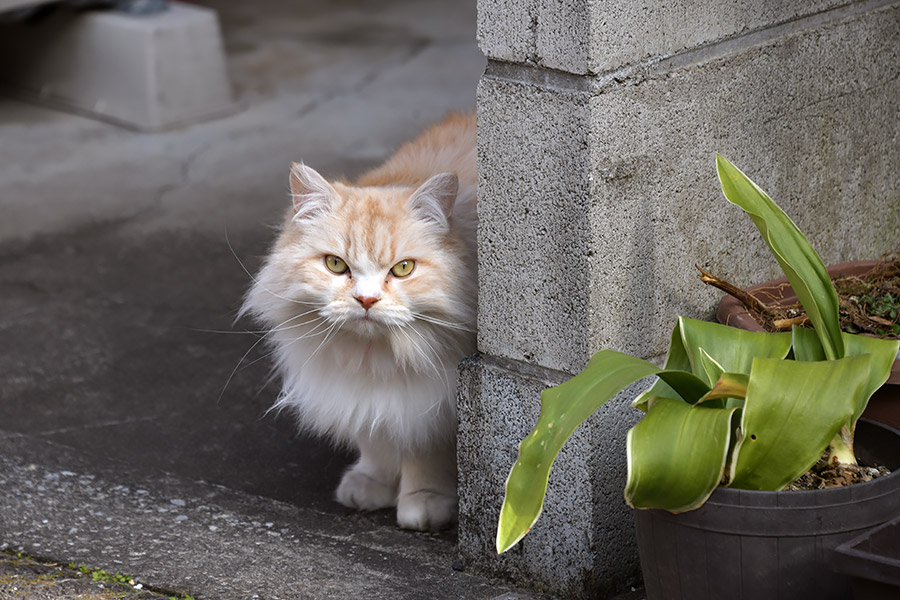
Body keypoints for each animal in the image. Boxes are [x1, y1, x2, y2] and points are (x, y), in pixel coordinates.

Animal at [239, 111, 478, 528]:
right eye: (336, 265)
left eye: (403, 269)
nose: (366, 300)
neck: (374, 358)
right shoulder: (363, 393)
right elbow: (375, 435)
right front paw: (371, 484)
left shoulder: (434, 399)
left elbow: (424, 450)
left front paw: (423, 501)